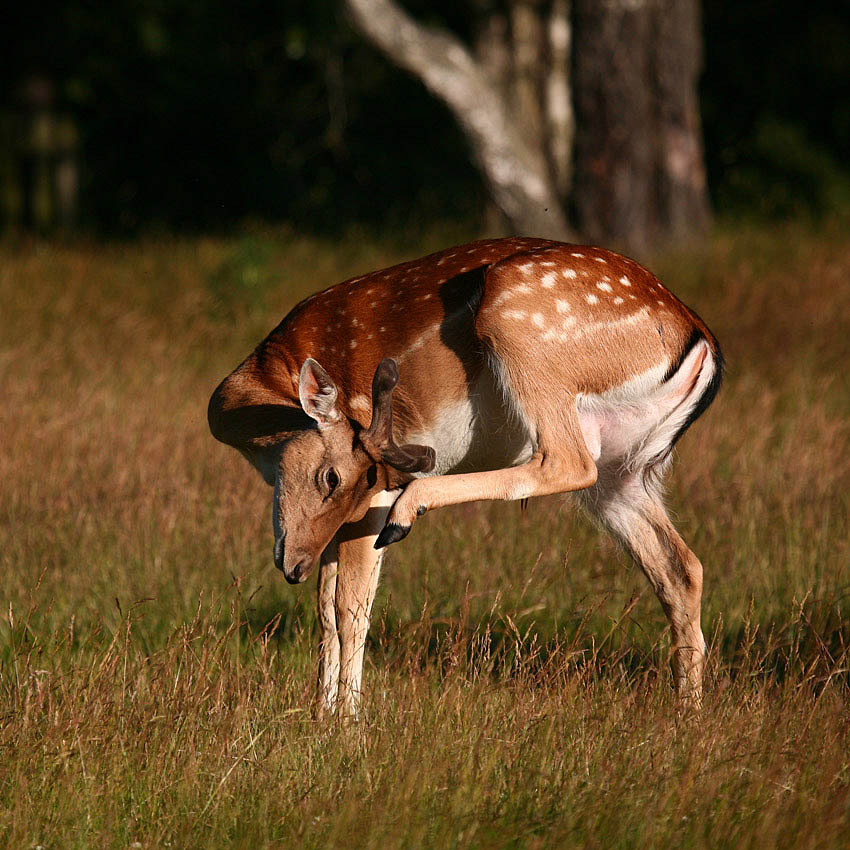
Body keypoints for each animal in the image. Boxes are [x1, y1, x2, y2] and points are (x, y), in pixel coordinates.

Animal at [209, 237, 720, 716]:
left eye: (333, 477)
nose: (294, 566)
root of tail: (701, 342)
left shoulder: (373, 500)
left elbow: (348, 608)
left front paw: (346, 724)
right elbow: (326, 611)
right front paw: (320, 715)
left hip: (521, 324)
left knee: (568, 460)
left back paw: (409, 511)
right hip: (623, 472)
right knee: (682, 568)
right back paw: (687, 714)